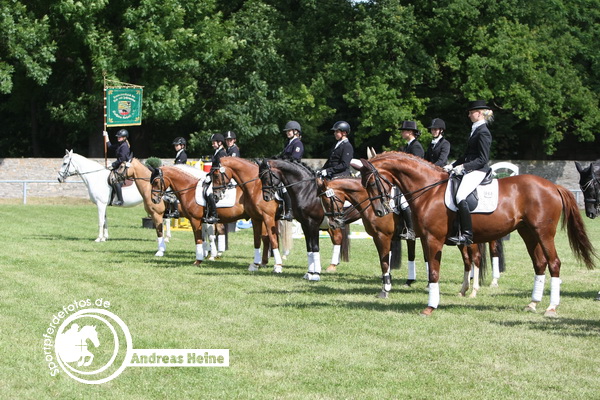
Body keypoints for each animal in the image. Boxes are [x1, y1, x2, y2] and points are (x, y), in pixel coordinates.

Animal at [316, 177, 490, 298]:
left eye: (326, 200)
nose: (333, 223)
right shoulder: (384, 238)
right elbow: (387, 261)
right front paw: (388, 284)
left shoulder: (383, 237)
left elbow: (384, 263)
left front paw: (385, 290)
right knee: (467, 260)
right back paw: (463, 290)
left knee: (475, 258)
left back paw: (473, 291)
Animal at [356, 152, 596, 318]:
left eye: (371, 182)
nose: (380, 211)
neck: (429, 190)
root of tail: (553, 186)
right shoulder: (425, 238)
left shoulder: (433, 239)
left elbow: (433, 272)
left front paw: (430, 307)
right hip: (528, 233)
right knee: (539, 263)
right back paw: (532, 303)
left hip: (544, 233)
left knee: (554, 263)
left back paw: (551, 307)